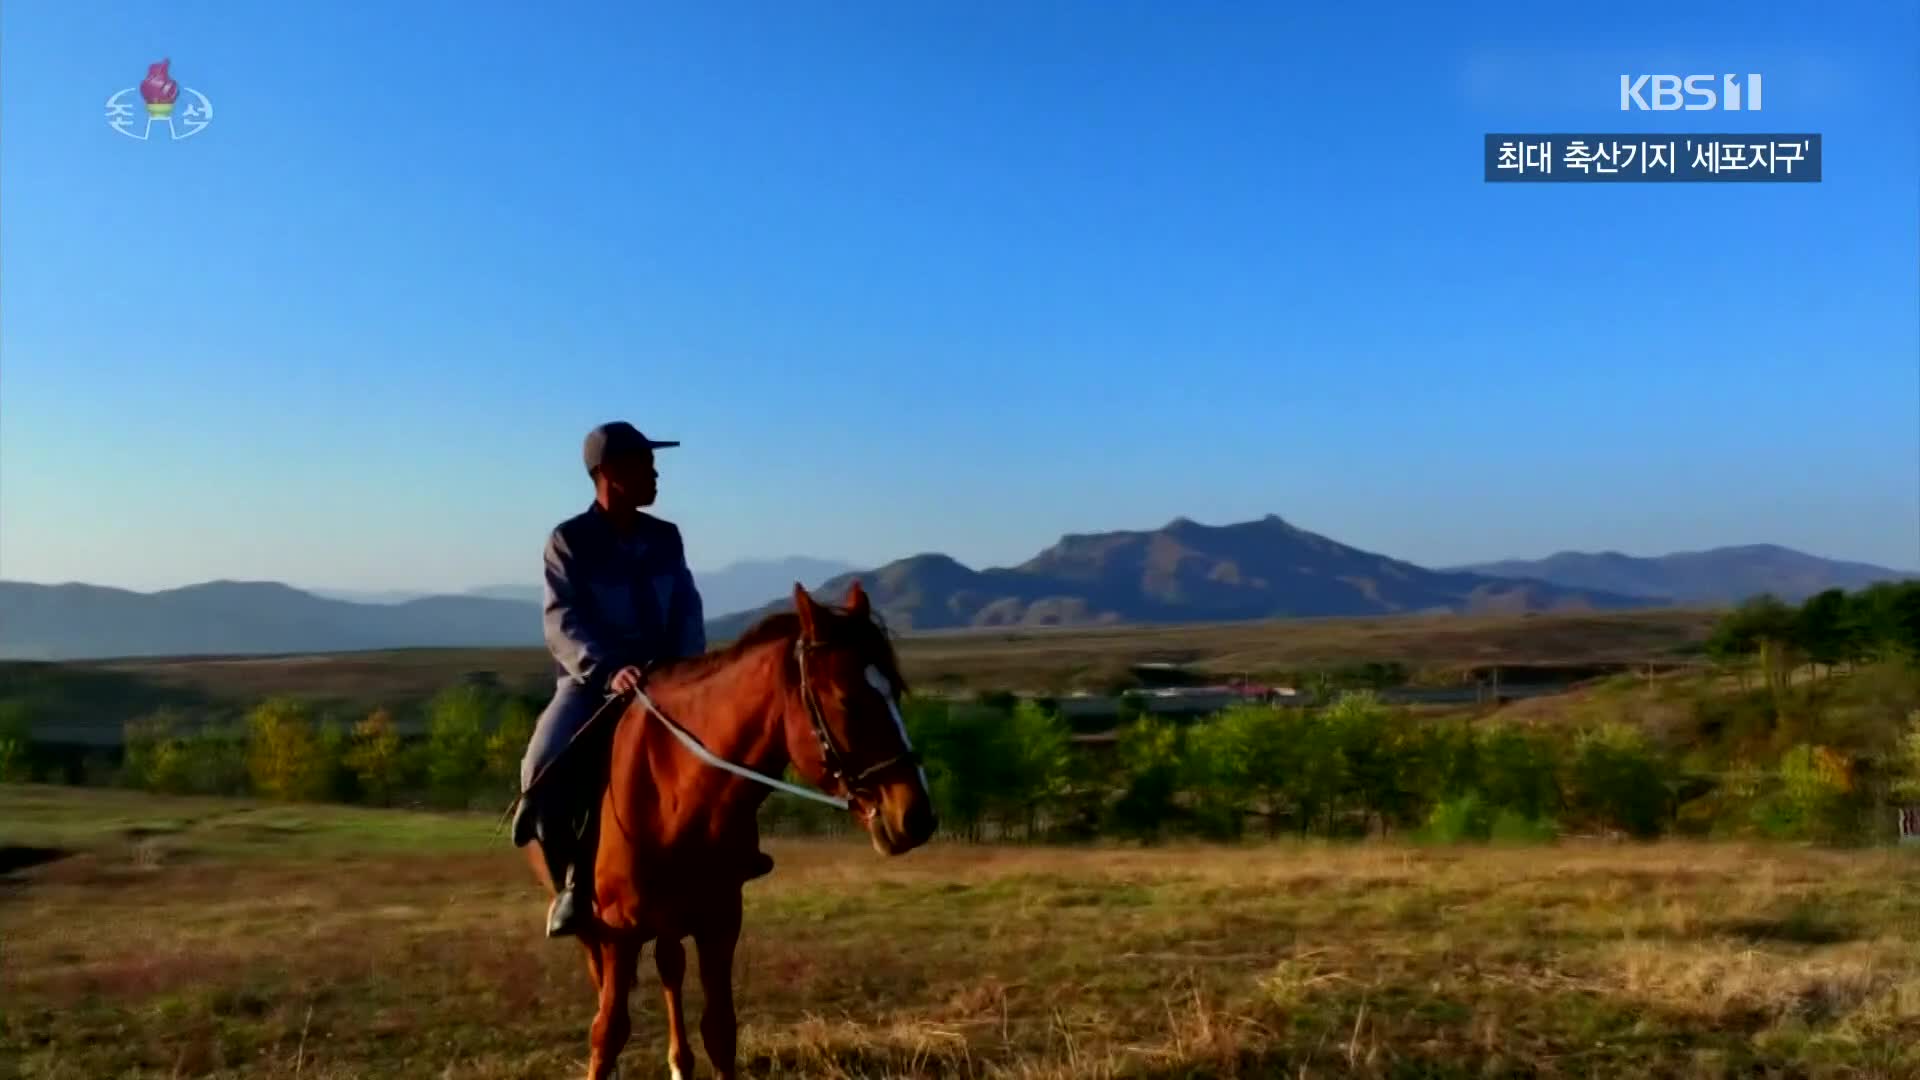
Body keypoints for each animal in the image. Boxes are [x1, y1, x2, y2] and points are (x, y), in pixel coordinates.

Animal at [533, 580, 936, 1076]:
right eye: (846, 699)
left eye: (895, 690)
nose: (915, 815)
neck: (673, 791)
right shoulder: (618, 932)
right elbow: (607, 1035)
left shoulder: (720, 921)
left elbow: (720, 1031)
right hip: (596, 932)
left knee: (670, 968)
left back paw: (679, 1062)